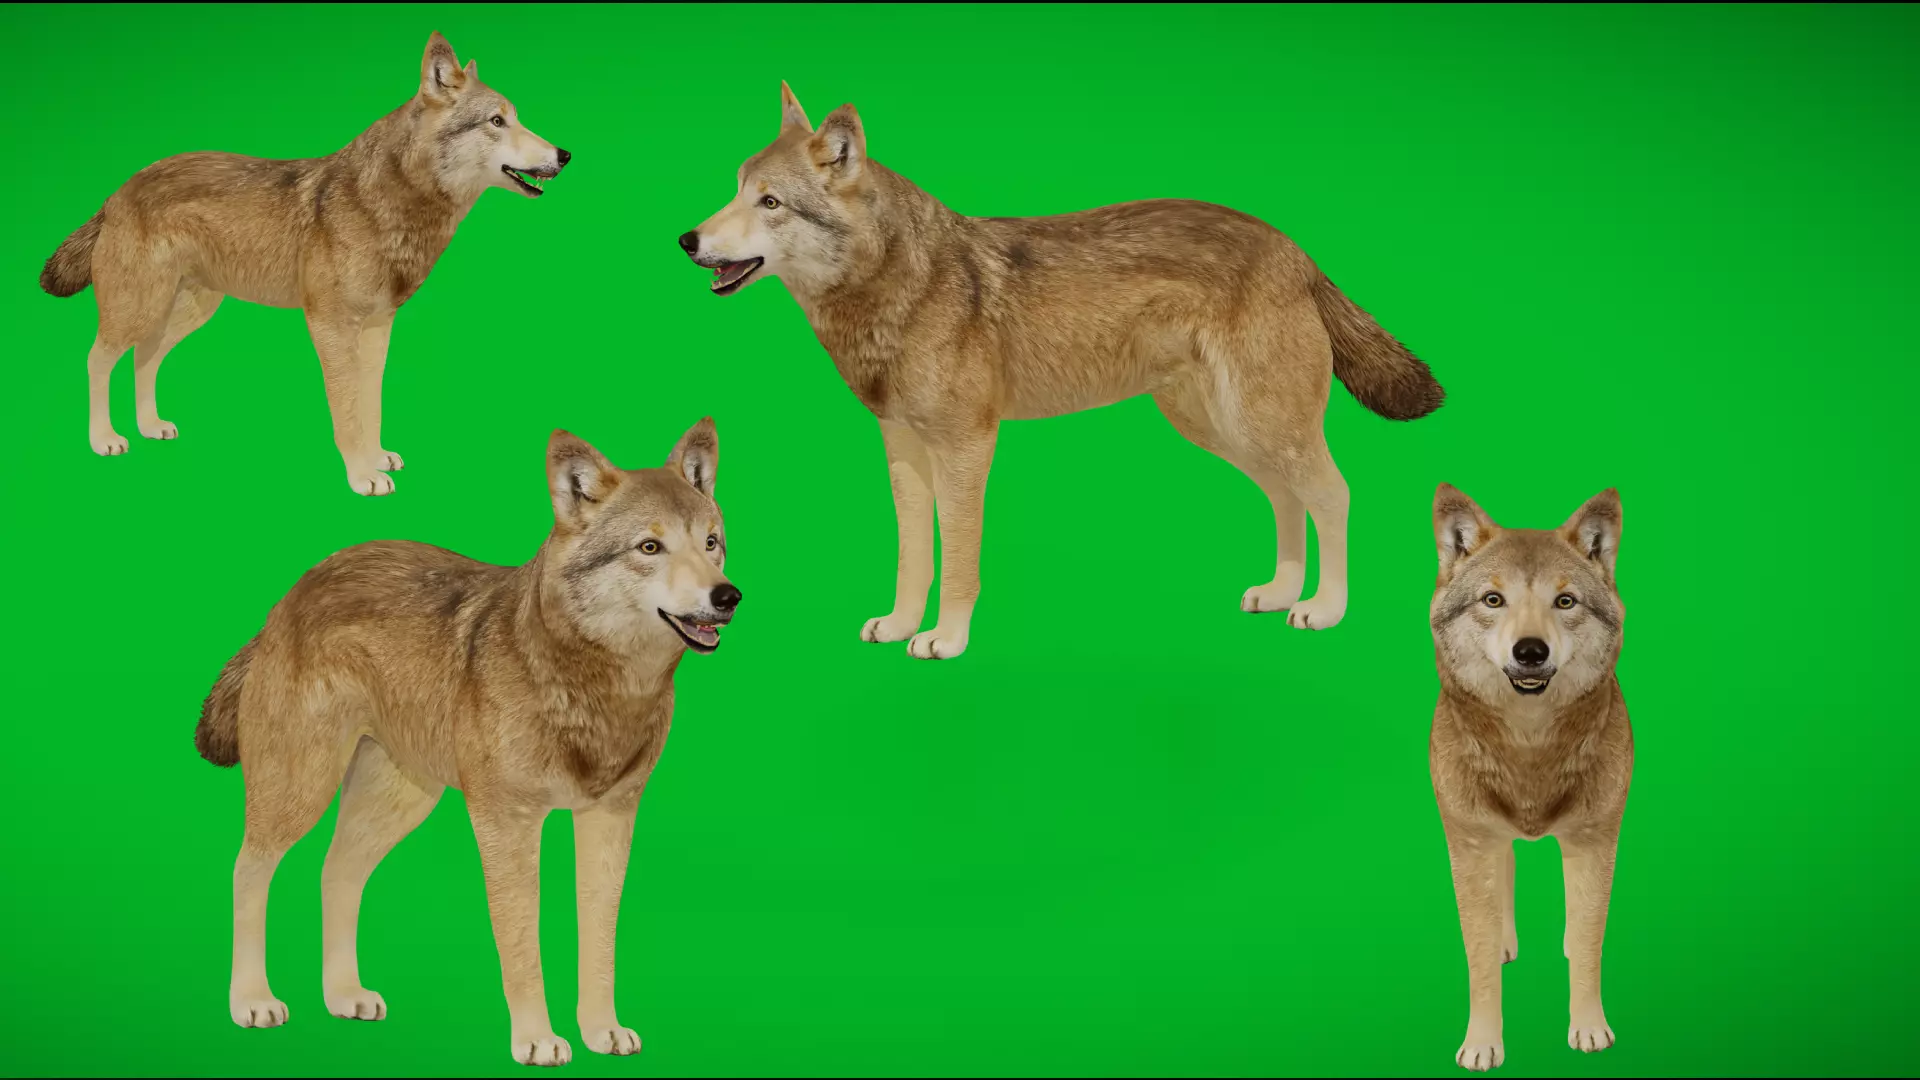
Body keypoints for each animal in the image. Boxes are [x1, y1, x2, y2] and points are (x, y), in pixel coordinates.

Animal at [40, 32, 569, 496]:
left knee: (144, 358)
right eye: (497, 121)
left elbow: (370, 404)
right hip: (139, 309)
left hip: (184, 313)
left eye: (516, 118)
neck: (390, 204)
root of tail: (116, 192)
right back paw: (104, 439)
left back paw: (150, 426)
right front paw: (362, 476)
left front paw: (375, 458)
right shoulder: (330, 326)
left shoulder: (377, 328)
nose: (564, 154)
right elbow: (347, 410)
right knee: (97, 359)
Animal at [195, 420, 740, 1066]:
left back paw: (345, 995)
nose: (727, 597)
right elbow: (522, 942)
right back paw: (252, 1000)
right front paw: (537, 1039)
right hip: (301, 791)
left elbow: (598, 940)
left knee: (336, 873)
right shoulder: (507, 823)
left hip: (400, 802)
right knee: (248, 870)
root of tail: (288, 597)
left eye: (712, 543)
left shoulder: (610, 819)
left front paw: (602, 1031)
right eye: (650, 548)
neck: (596, 686)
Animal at [677, 83, 1443, 659]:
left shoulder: (966, 447)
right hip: (1225, 430)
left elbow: (958, 560)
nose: (687, 239)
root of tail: (1296, 250)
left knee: (1333, 495)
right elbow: (913, 557)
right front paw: (899, 626)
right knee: (1288, 497)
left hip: (1261, 423)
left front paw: (945, 639)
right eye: (735, 190)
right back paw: (1282, 592)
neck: (897, 287)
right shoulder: (903, 451)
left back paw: (1324, 608)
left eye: (770, 203)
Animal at [1427, 484, 1632, 1071]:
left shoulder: (1594, 841)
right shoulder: (1471, 844)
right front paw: (1481, 1044)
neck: (1529, 748)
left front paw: (1589, 1030)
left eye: (1565, 602)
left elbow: (1588, 943)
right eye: (1493, 600)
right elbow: (1477, 963)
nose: (1531, 651)